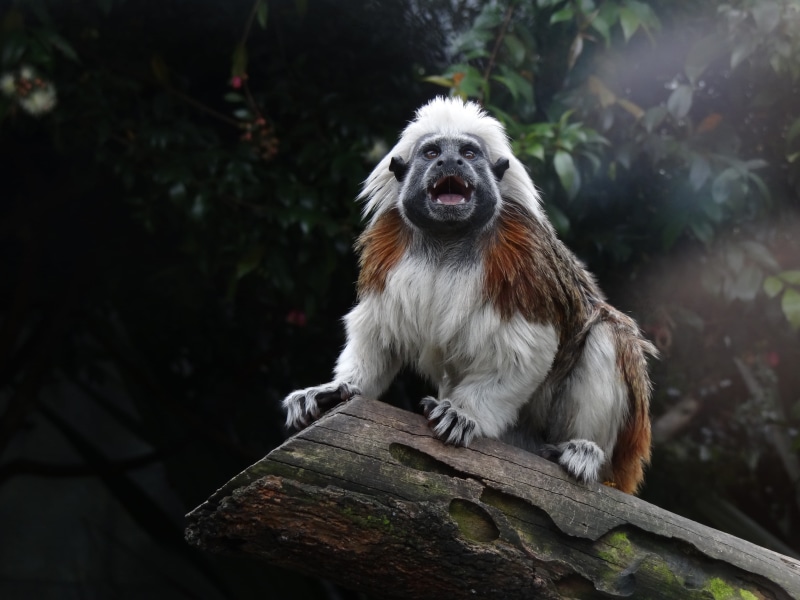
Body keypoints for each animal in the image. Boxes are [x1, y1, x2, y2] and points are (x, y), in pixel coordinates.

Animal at [282, 97, 657, 494]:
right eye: (432, 153)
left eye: (468, 153)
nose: (450, 162)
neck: (448, 239)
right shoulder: (388, 249)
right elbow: (378, 332)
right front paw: (337, 388)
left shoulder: (523, 254)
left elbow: (526, 349)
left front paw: (462, 414)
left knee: (607, 332)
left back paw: (585, 450)